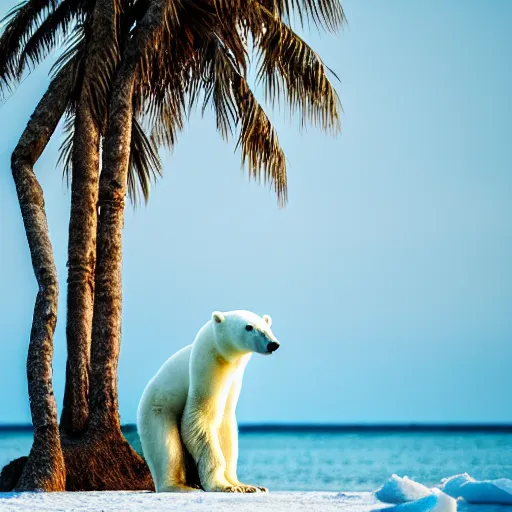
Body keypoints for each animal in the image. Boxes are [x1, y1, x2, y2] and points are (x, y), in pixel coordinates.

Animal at [136, 310, 280, 494]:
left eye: (267, 326)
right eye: (249, 327)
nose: (273, 344)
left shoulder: (234, 379)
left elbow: (226, 427)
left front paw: (244, 485)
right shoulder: (207, 366)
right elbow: (199, 419)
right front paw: (225, 486)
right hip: (157, 409)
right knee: (167, 447)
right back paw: (181, 486)